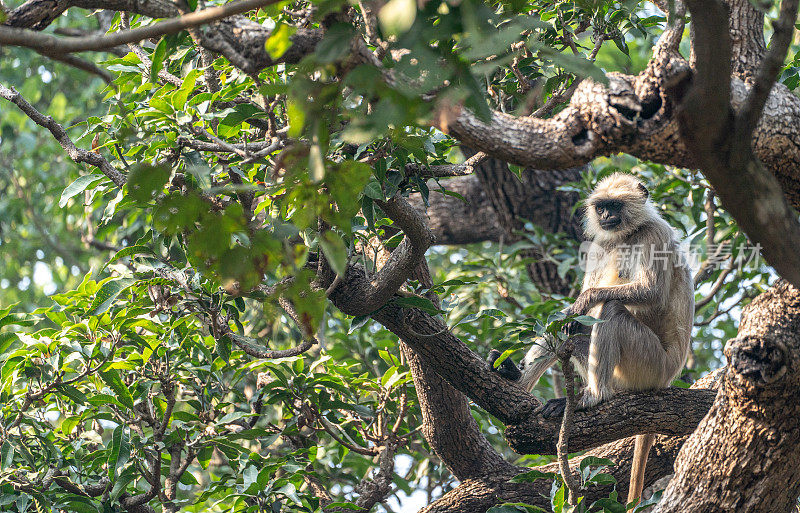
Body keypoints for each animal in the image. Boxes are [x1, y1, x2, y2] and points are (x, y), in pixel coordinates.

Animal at [488, 173, 692, 504]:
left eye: (615, 206)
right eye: (601, 207)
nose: (606, 216)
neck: (627, 234)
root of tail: (668, 378)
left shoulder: (656, 234)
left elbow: (649, 293)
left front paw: (584, 302)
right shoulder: (601, 243)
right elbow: (565, 320)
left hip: (650, 364)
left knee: (611, 308)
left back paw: (595, 396)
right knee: (569, 330)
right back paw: (515, 379)